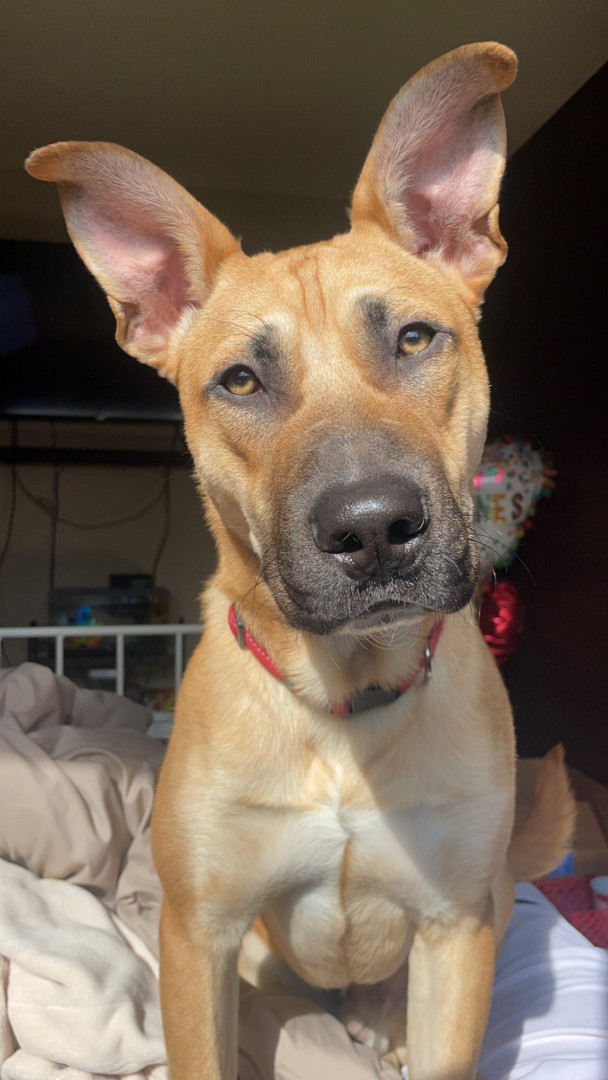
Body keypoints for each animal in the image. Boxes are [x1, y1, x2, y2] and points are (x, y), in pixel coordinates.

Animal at [27, 42, 575, 1080]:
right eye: (241, 380)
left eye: (414, 337)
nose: (374, 529)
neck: (343, 706)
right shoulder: (197, 936)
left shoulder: (457, 930)